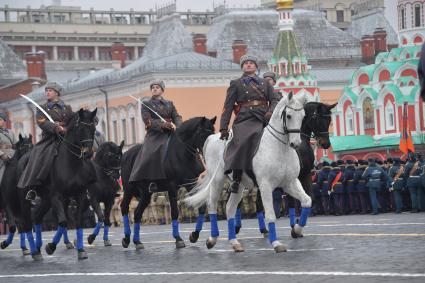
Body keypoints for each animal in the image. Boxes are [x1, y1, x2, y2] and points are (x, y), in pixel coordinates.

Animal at [17, 109, 96, 262]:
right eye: (81, 129)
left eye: (93, 129)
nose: (88, 153)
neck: (71, 164)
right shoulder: (57, 196)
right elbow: (63, 222)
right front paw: (51, 246)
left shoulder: (80, 195)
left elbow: (77, 221)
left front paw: (81, 250)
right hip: (26, 200)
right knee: (26, 223)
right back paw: (33, 250)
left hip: (46, 200)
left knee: (37, 217)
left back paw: (37, 248)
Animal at [120, 116, 215, 250]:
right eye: (202, 133)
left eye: (213, 132)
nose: (209, 151)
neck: (181, 154)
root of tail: (126, 154)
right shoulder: (172, 187)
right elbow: (174, 212)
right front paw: (178, 239)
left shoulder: (190, 184)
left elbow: (201, 207)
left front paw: (194, 235)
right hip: (129, 189)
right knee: (124, 208)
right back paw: (126, 238)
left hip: (146, 193)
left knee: (137, 213)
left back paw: (137, 241)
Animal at [184, 92, 310, 253]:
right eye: (288, 116)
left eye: (303, 116)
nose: (296, 144)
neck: (279, 148)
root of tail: (212, 138)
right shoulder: (265, 185)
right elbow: (270, 215)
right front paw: (276, 243)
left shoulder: (290, 183)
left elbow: (307, 201)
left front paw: (296, 230)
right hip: (217, 180)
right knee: (211, 204)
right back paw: (212, 239)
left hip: (239, 186)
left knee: (230, 209)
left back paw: (234, 242)